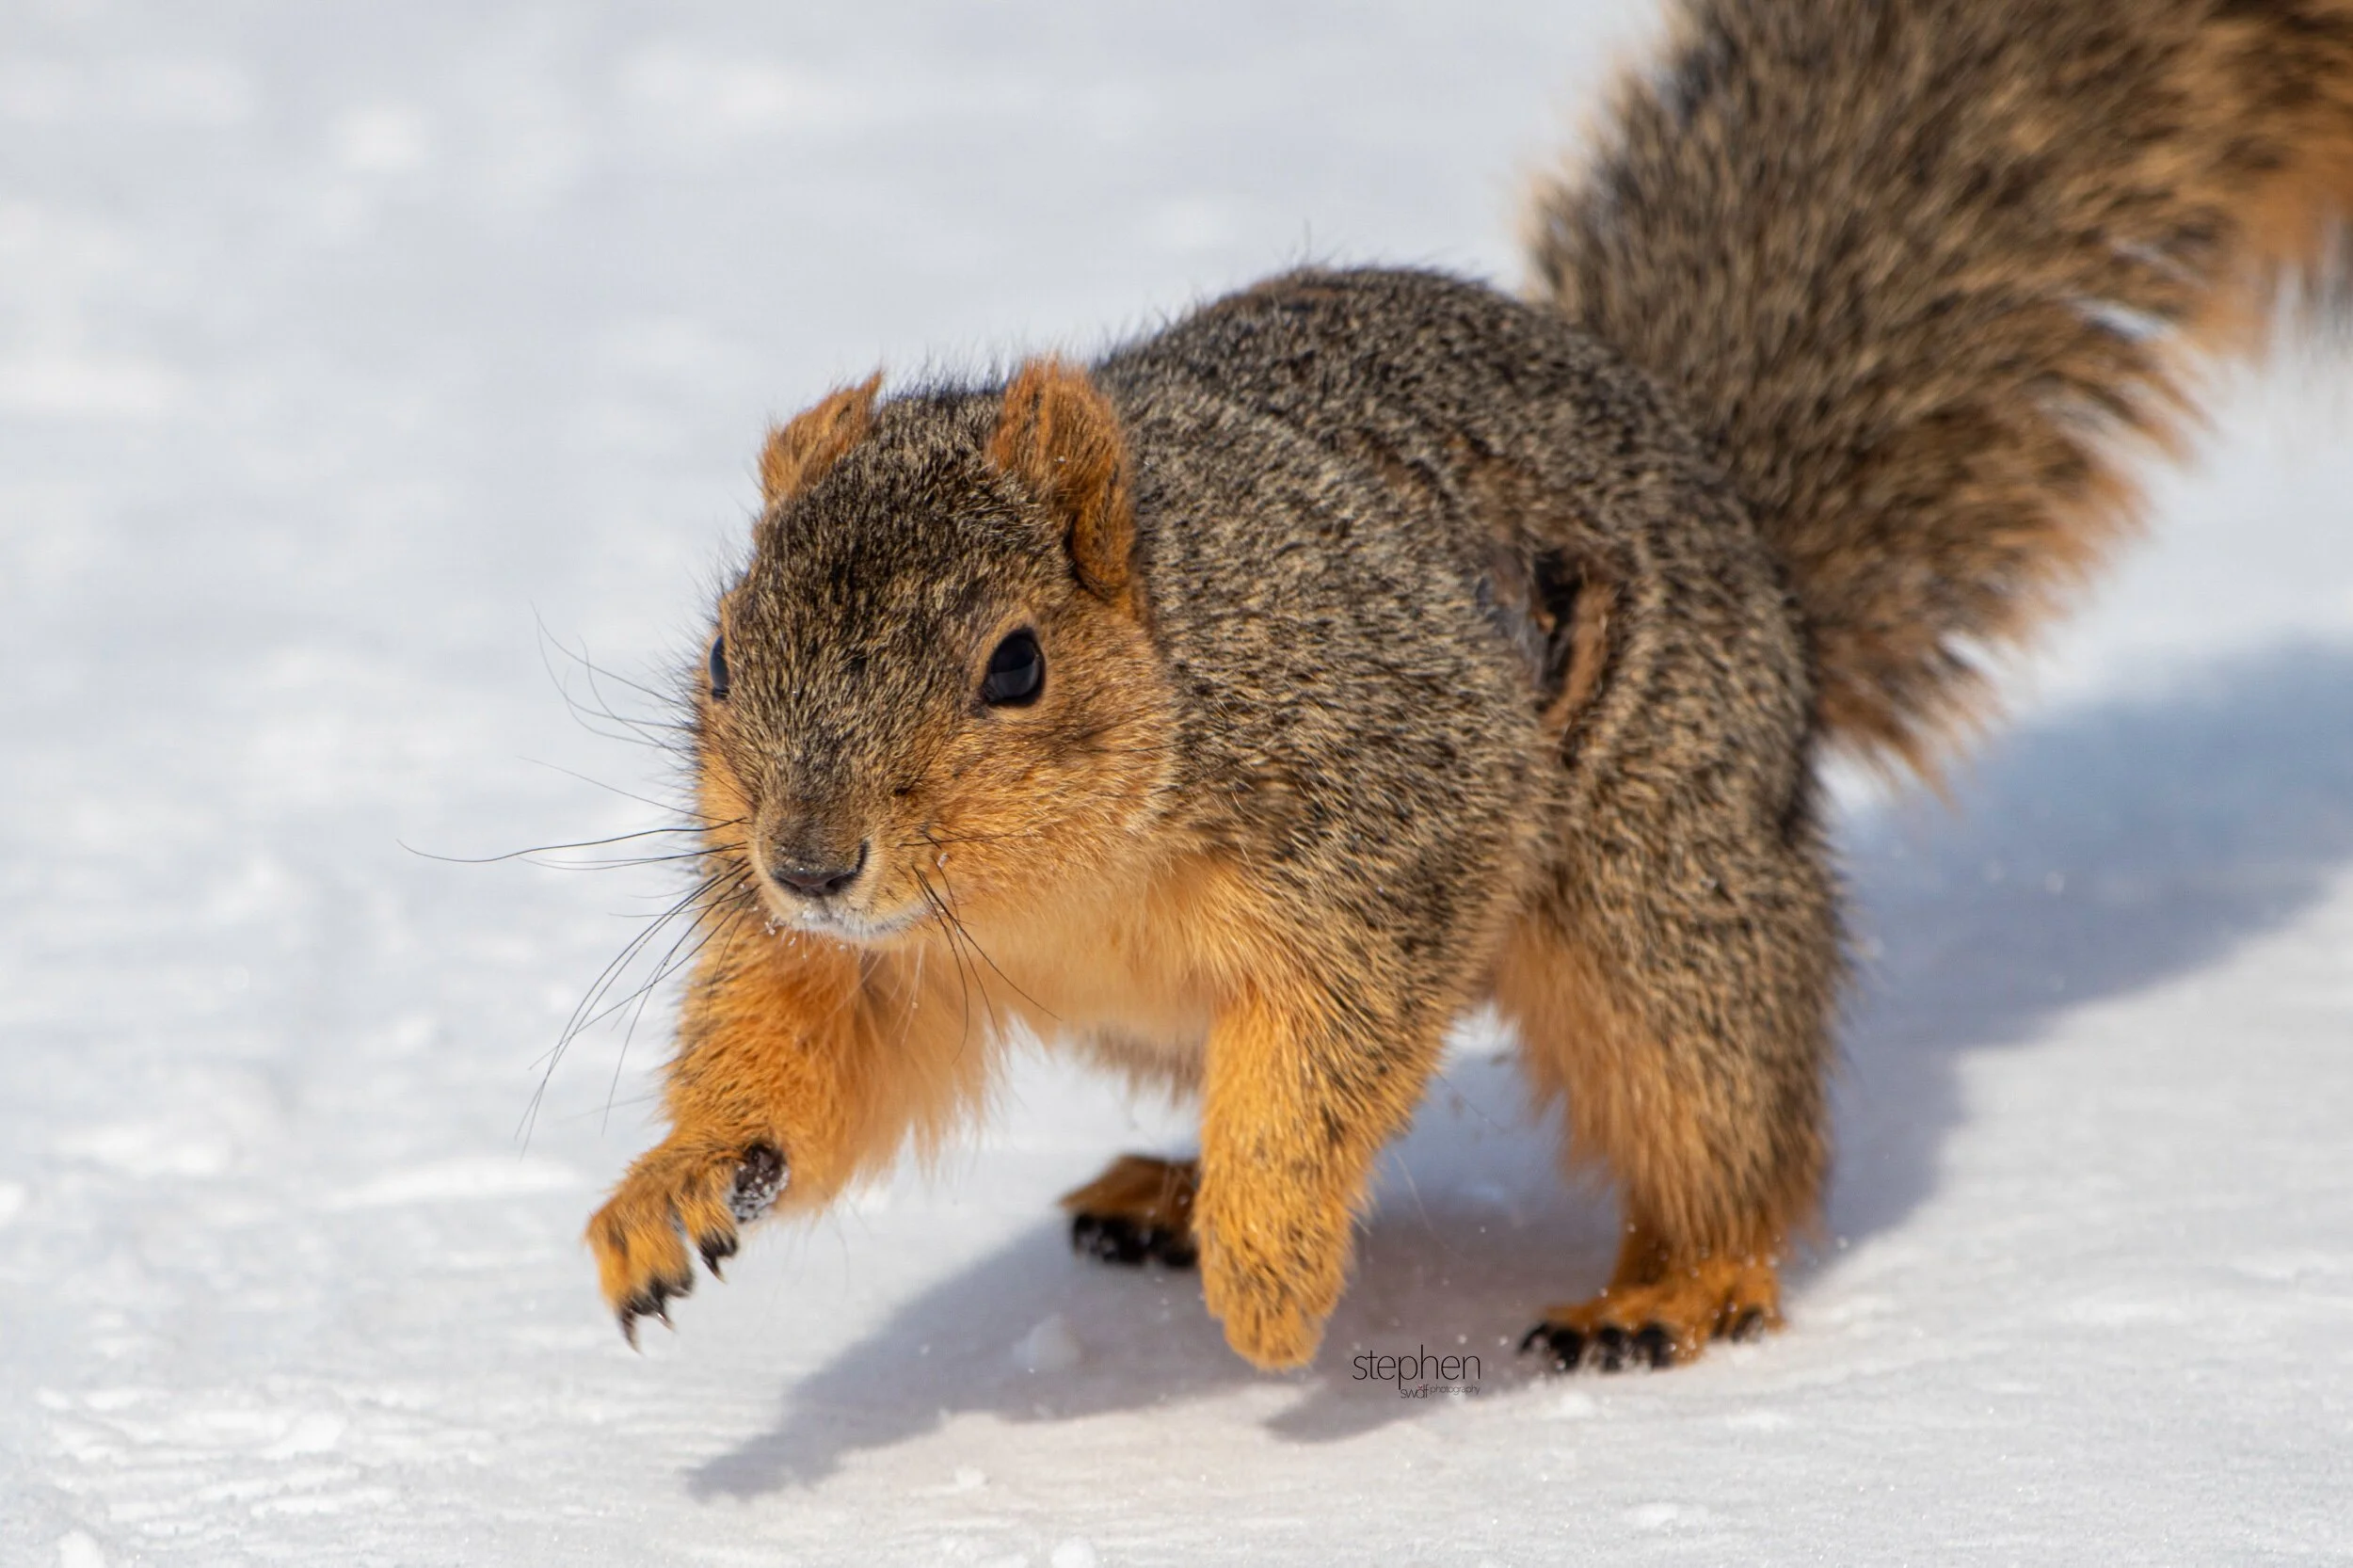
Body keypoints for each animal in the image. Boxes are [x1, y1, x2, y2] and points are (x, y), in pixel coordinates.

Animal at [586, 0, 2353, 1374]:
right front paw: (675, 1185)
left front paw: (1272, 1276)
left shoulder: (1398, 815)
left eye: (1013, 663)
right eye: (726, 652)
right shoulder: (865, 960)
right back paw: (1164, 1192)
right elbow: (806, 1059)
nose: (809, 862)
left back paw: (1670, 1287)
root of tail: (1738, 528)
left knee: (1730, 1120)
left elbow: (1321, 1068)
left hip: (1664, 899)